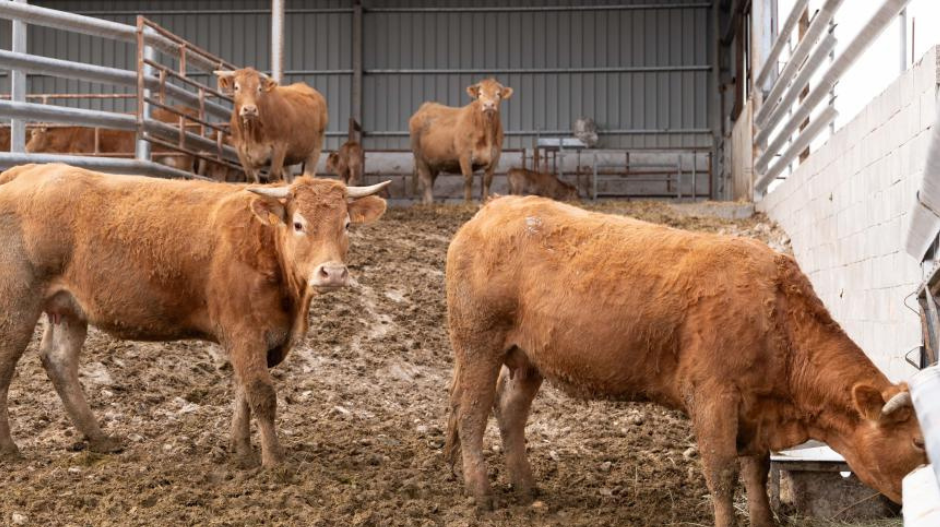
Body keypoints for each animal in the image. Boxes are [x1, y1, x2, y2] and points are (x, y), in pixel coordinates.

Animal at [0, 164, 390, 466]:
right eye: (298, 223)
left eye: (347, 225)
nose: (333, 273)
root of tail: (26, 171)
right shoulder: (244, 331)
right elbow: (261, 394)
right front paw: (275, 462)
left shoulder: (256, 339)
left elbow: (243, 392)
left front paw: (242, 452)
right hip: (16, 304)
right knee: (6, 366)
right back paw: (10, 450)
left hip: (67, 307)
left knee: (59, 361)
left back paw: (100, 439)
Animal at [446, 197, 924, 527]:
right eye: (920, 442)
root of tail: (492, 208)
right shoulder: (712, 395)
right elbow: (721, 472)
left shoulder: (755, 410)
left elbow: (757, 471)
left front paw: (763, 520)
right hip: (478, 343)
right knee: (471, 413)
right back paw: (482, 493)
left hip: (527, 360)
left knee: (508, 411)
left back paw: (526, 489)